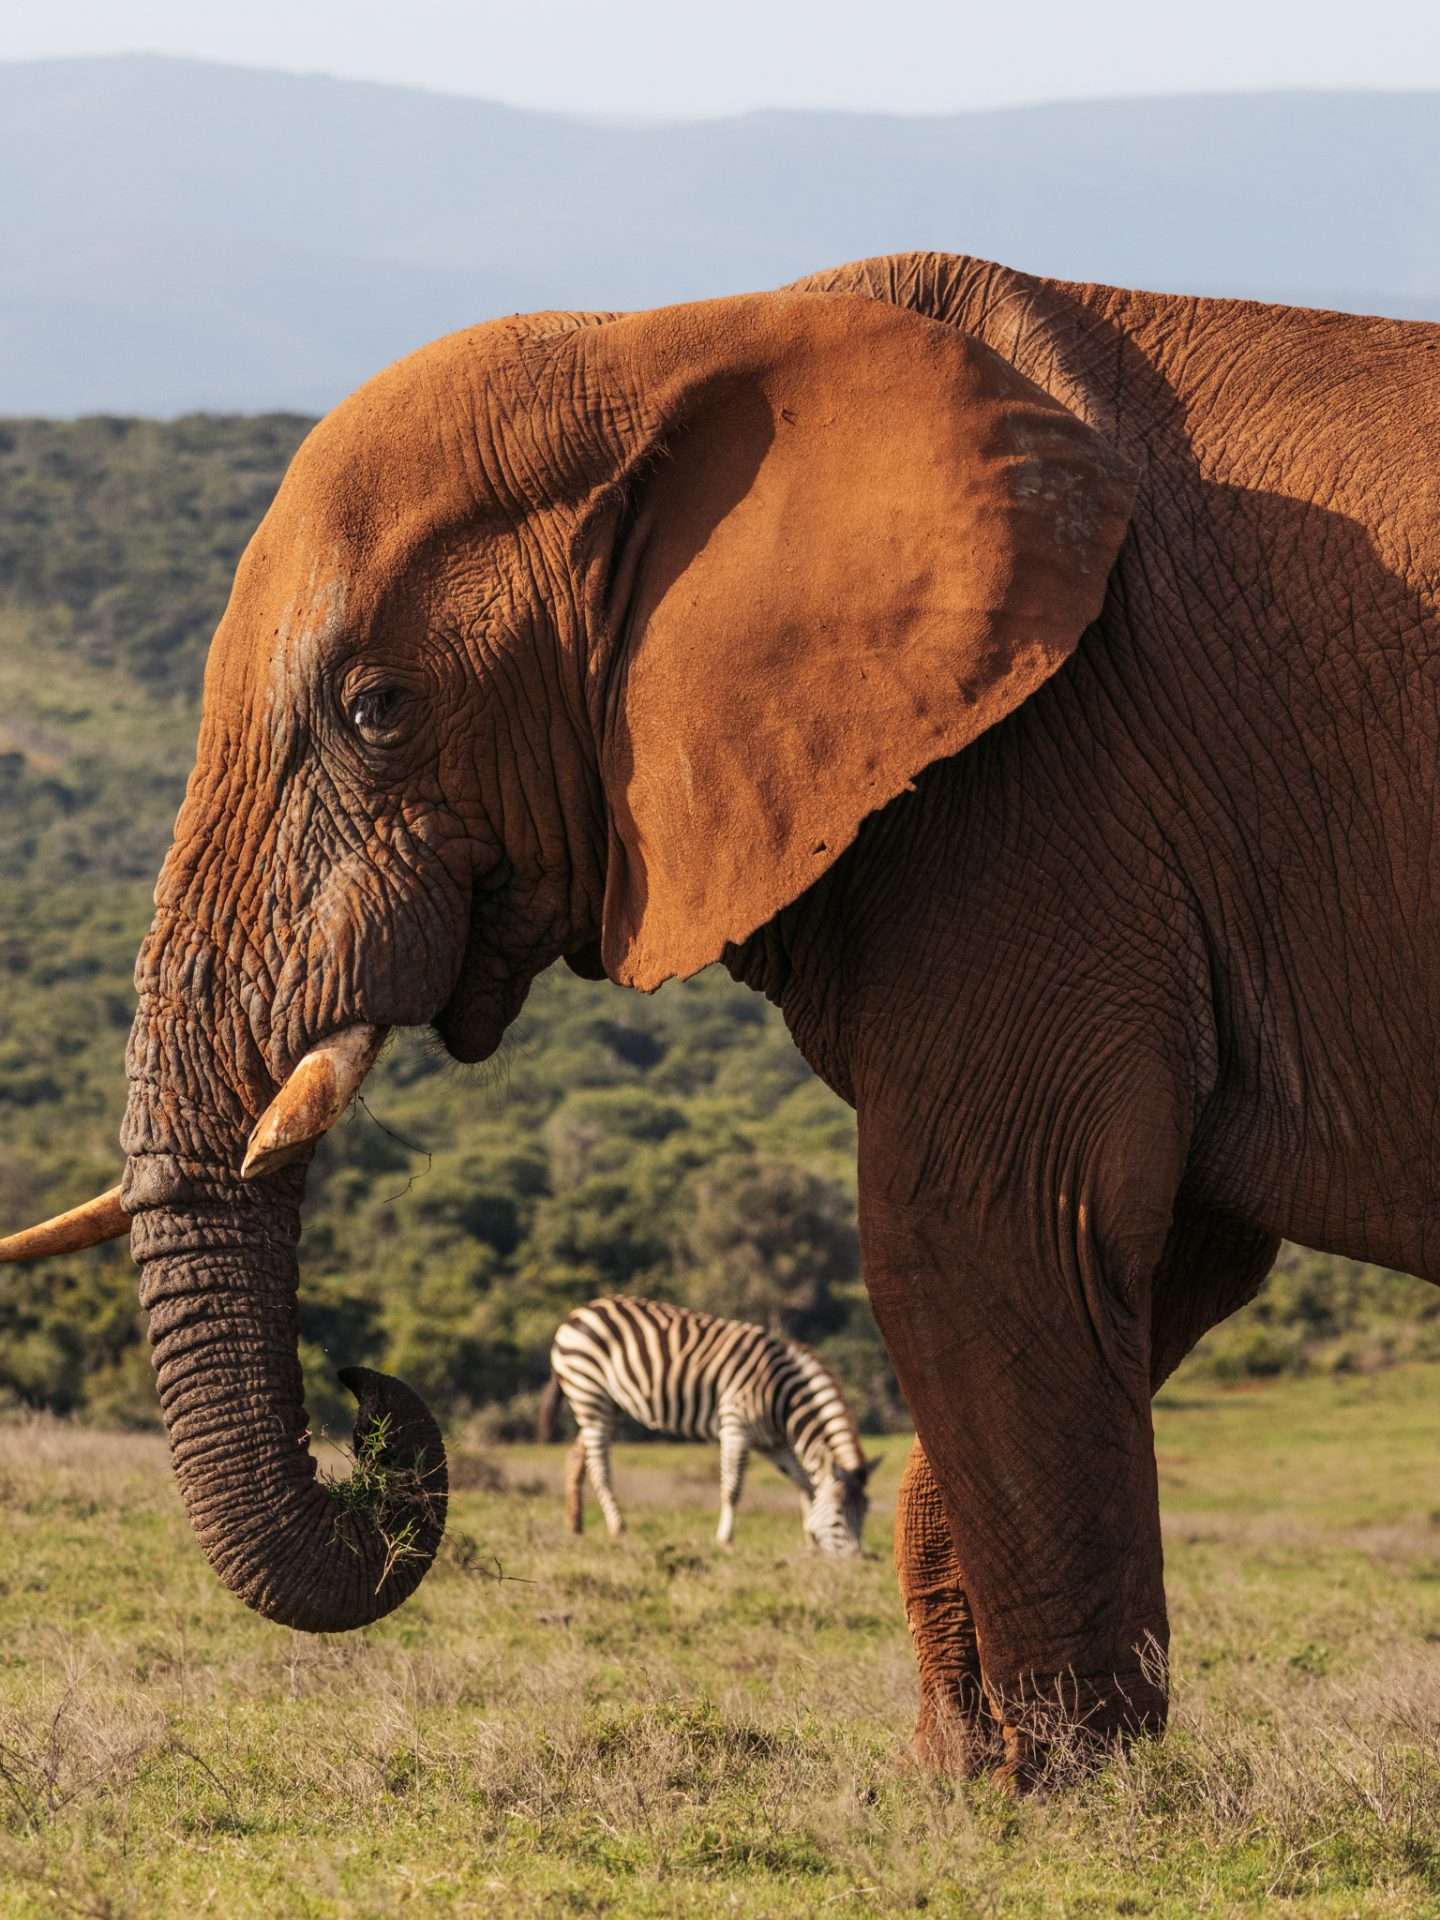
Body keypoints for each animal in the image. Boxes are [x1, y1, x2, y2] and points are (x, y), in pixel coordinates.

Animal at [5, 246, 1439, 1789]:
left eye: (377, 706)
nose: (366, 1395)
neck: (669, 345)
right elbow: (1134, 1270)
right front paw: (963, 1777)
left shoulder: (1055, 789)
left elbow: (987, 1242)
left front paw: (1067, 1796)